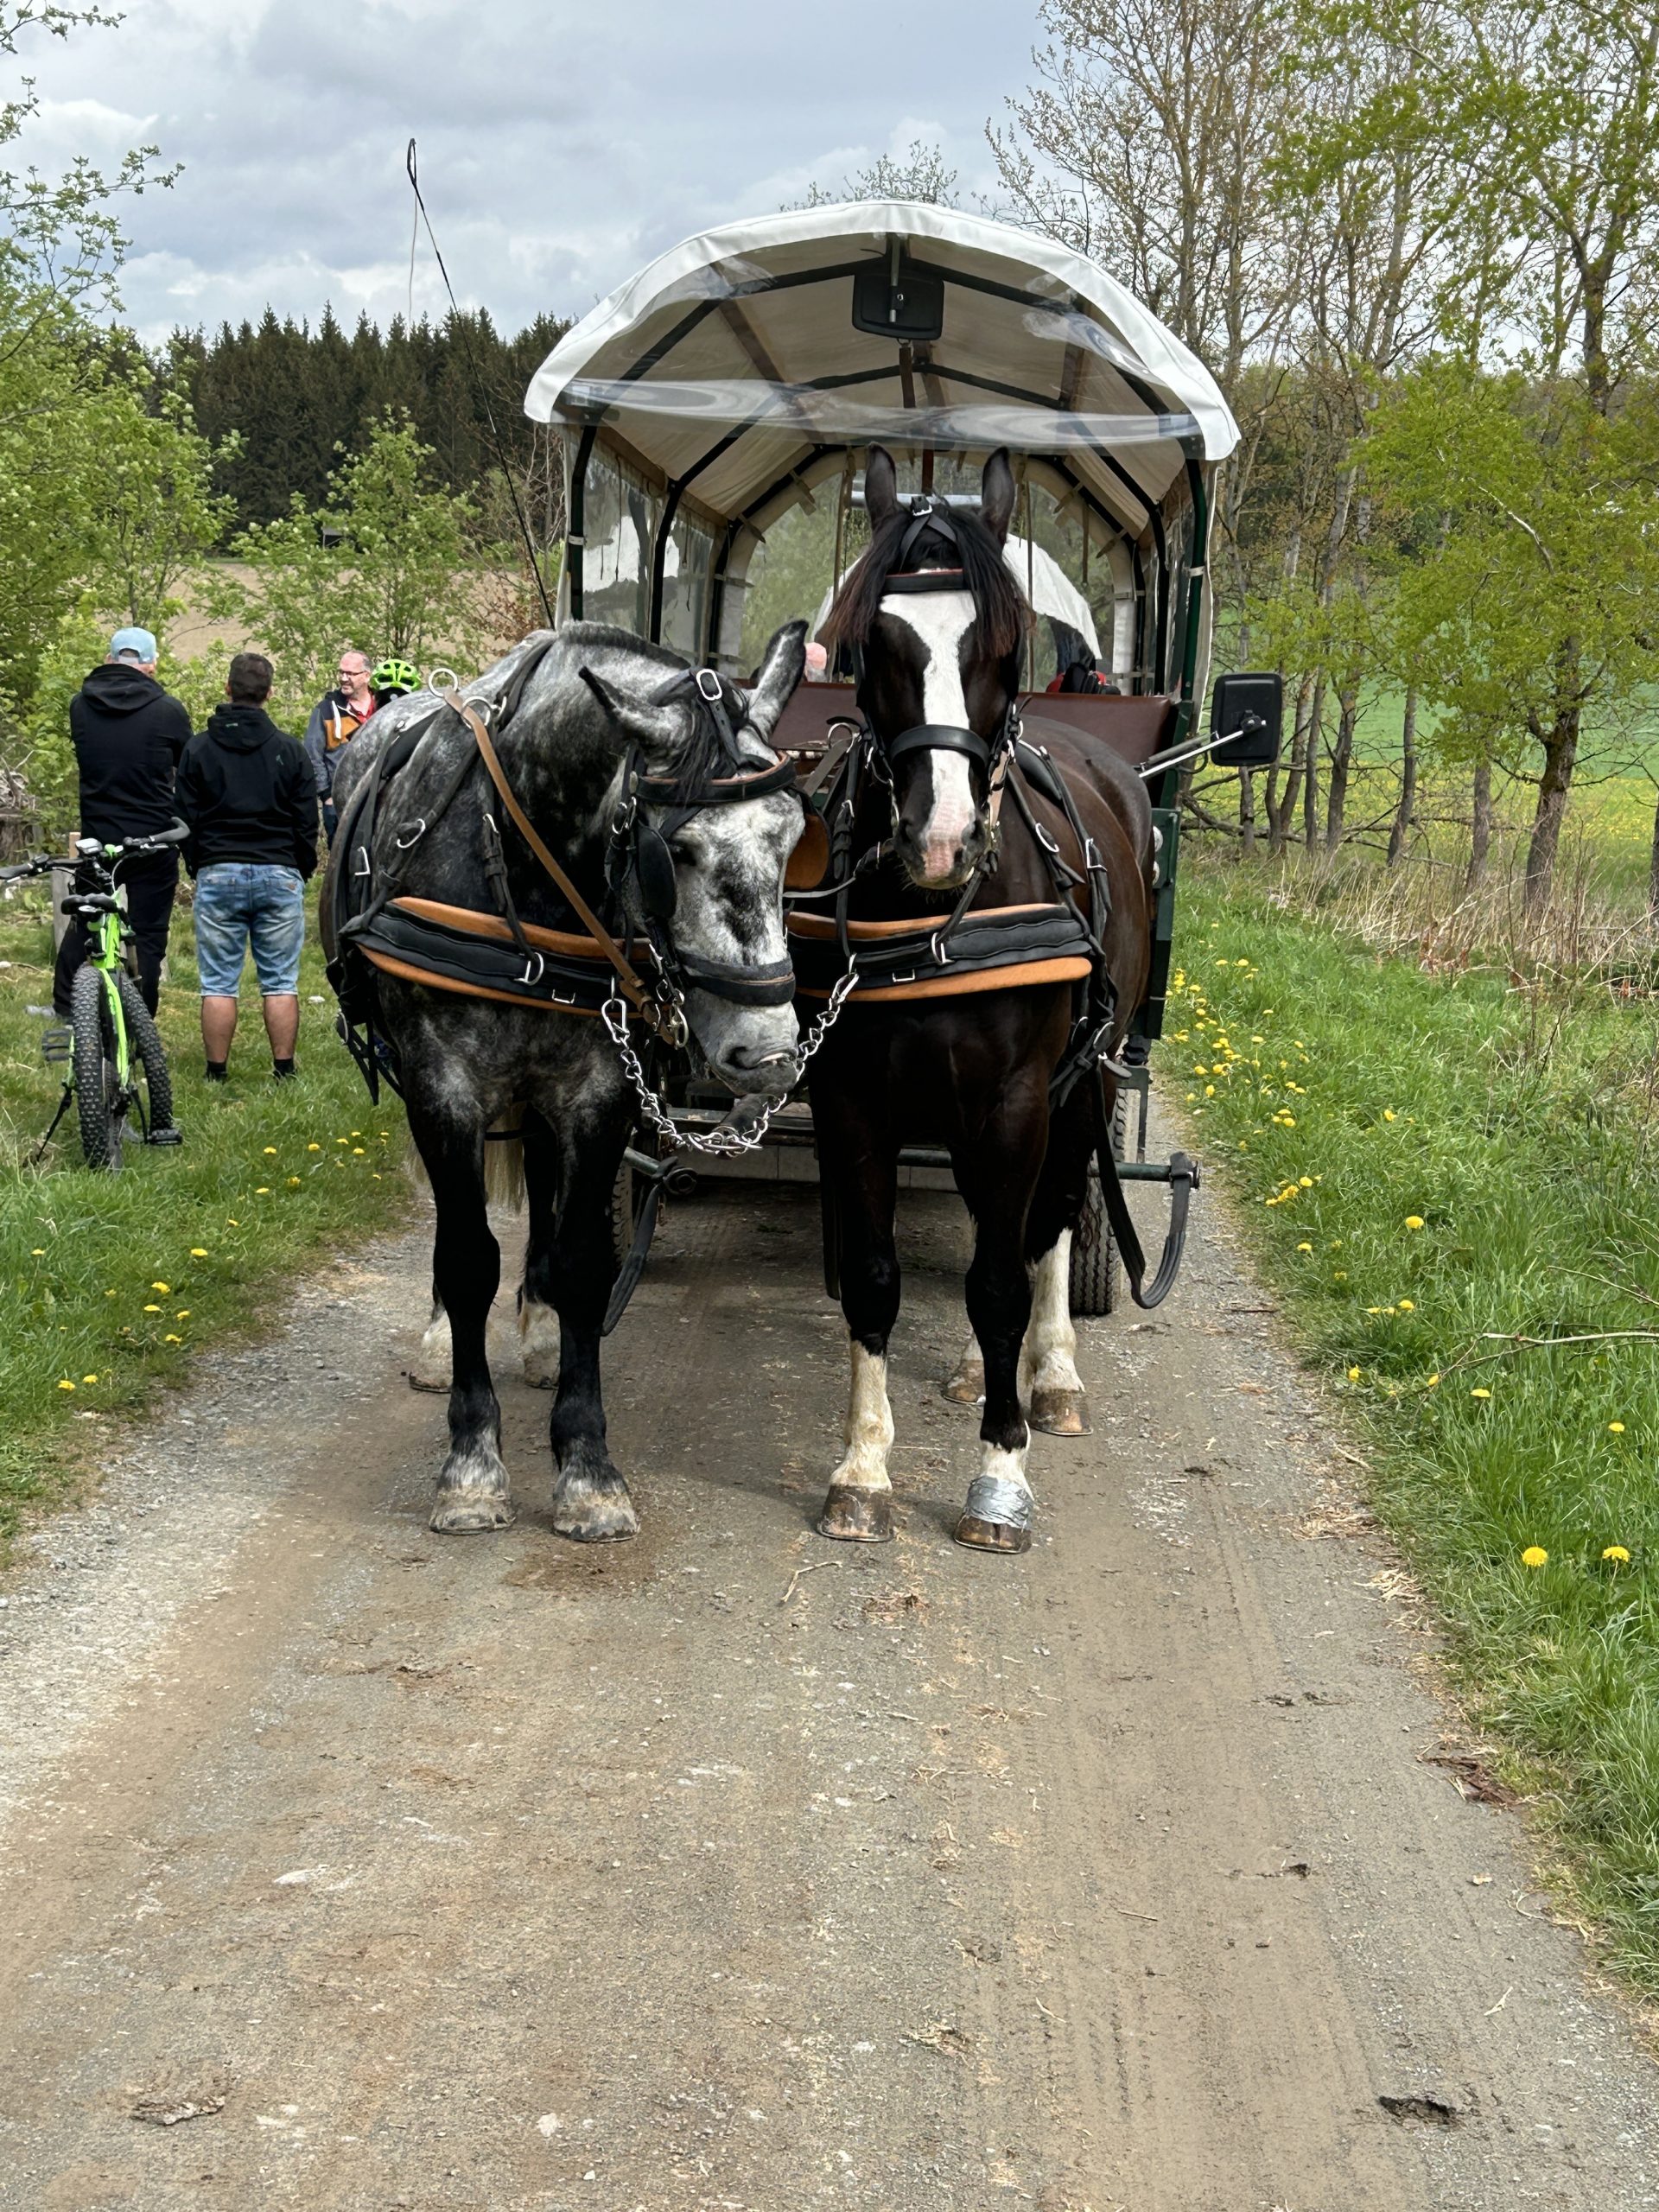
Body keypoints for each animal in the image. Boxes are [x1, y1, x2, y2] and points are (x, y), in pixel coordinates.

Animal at [321, 623, 809, 1539]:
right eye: (675, 851)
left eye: (794, 836)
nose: (767, 1056)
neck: (525, 871)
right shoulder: (443, 1085)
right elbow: (466, 1256)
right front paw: (472, 1464)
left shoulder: (598, 1089)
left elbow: (586, 1259)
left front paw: (586, 1466)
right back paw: (441, 1341)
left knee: (545, 1188)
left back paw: (541, 1327)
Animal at [809, 451, 1159, 1557]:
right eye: (875, 639)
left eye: (1002, 644)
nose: (940, 838)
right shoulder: (853, 1102)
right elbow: (875, 1278)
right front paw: (863, 1469)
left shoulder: (1015, 1101)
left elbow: (1005, 1277)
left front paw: (1001, 1471)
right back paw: (975, 1371)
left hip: (1084, 1083)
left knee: (1045, 1226)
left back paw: (1048, 1377)